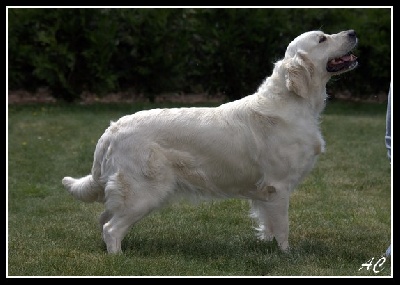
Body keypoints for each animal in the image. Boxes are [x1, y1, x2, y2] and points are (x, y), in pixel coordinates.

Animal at [63, 29, 360, 253]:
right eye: (322, 39)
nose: (353, 32)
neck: (294, 101)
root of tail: (111, 130)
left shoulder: (266, 191)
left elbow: (268, 223)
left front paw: (267, 246)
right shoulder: (279, 185)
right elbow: (283, 227)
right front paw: (287, 255)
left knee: (105, 217)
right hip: (144, 191)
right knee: (111, 228)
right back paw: (119, 257)